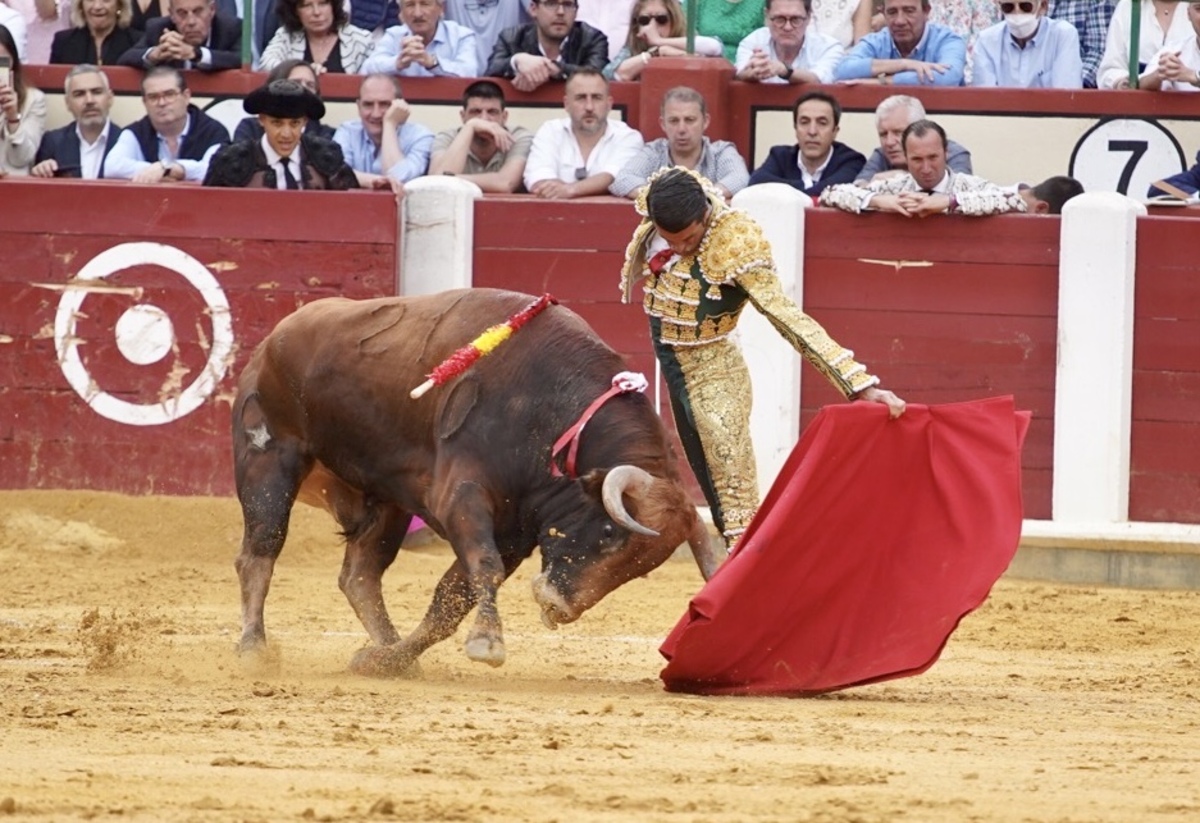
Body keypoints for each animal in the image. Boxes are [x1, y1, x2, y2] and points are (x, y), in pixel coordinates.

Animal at [235, 290, 720, 676]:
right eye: (608, 532)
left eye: (641, 569)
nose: (557, 607)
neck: (552, 411)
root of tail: (276, 336)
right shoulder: (463, 497)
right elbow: (482, 567)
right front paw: (486, 643)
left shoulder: (515, 531)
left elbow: (451, 600)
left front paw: (389, 660)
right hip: (268, 460)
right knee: (260, 553)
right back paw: (253, 648)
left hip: (386, 500)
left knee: (359, 576)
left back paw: (388, 651)